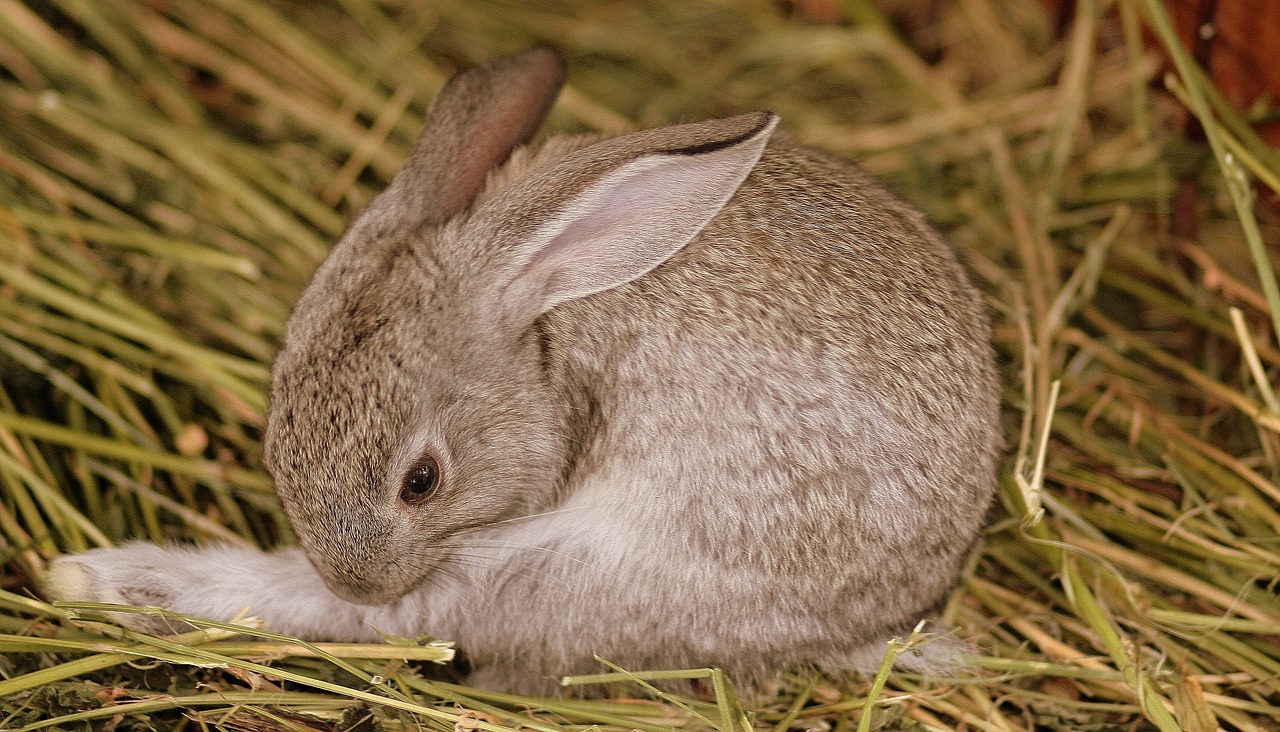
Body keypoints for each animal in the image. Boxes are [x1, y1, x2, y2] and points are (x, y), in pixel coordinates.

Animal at [42, 49, 998, 691]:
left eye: (422, 480)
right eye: (276, 434)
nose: (352, 571)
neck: (546, 331)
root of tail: (883, 616)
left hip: (573, 572)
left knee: (412, 619)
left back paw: (106, 579)